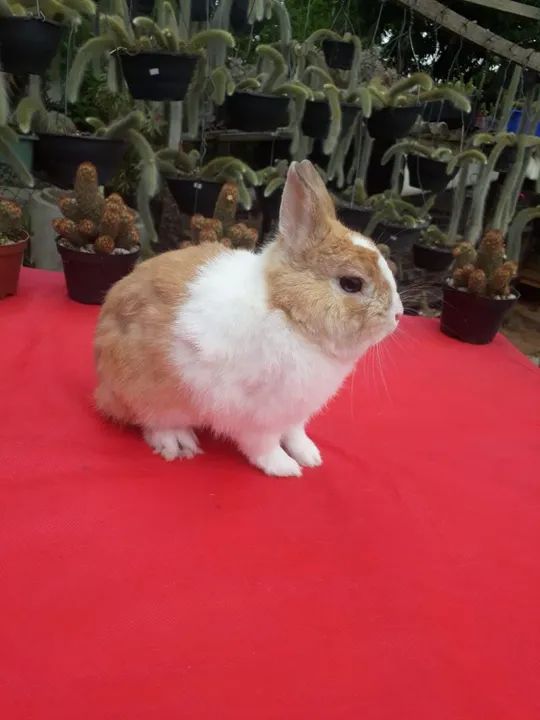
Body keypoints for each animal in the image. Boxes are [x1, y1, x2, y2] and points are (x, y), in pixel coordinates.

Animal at [94, 160, 403, 477]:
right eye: (351, 284)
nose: (398, 315)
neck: (287, 312)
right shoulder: (259, 416)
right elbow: (264, 446)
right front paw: (286, 468)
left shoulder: (295, 413)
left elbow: (295, 434)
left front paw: (311, 456)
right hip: (150, 394)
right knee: (152, 422)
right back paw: (178, 443)